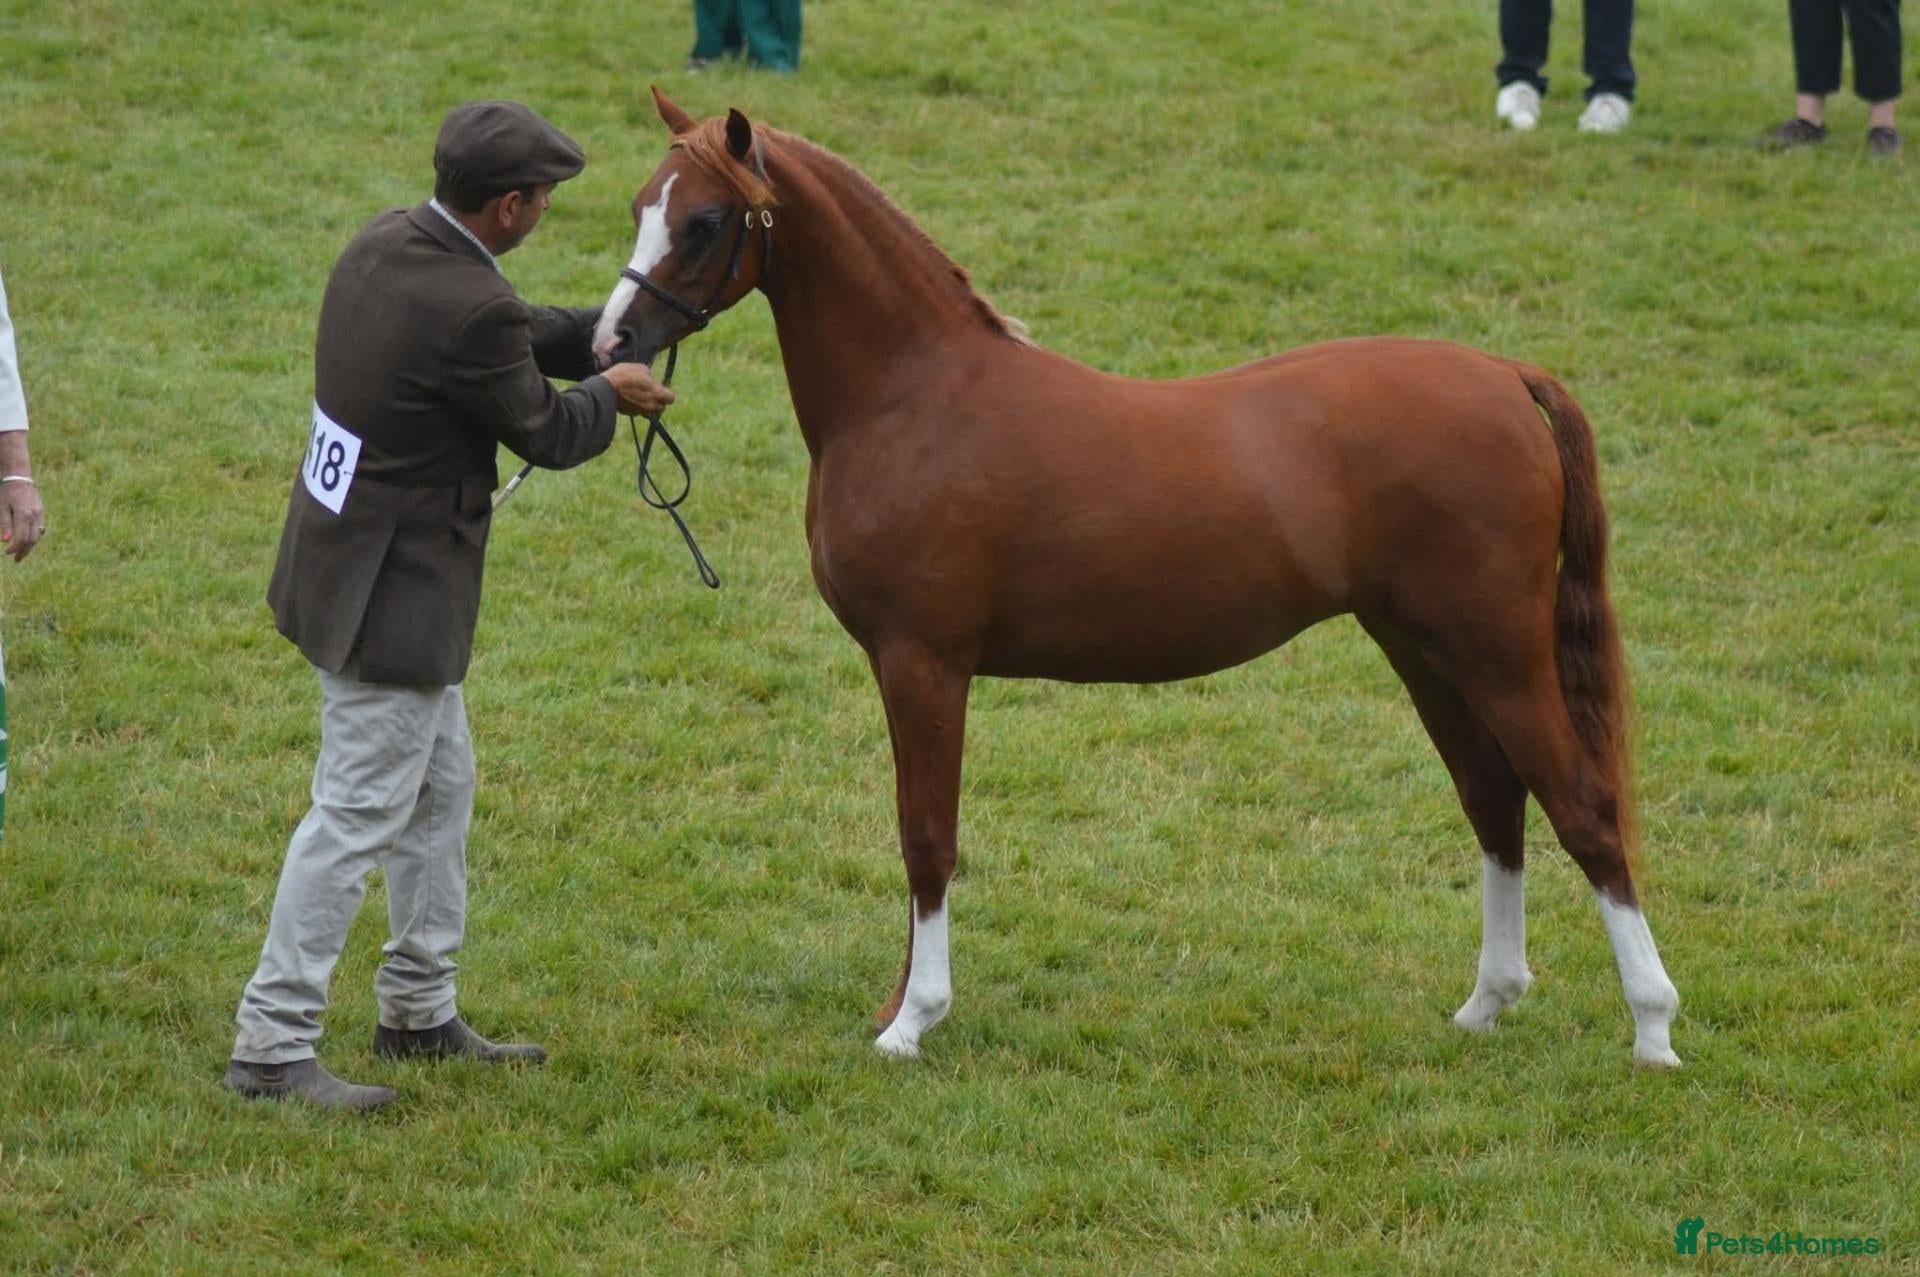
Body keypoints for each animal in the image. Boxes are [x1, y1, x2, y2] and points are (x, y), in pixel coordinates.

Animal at [590, 88, 1682, 1068]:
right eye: (641, 201)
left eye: (704, 219)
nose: (611, 344)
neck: (916, 396)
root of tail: (1505, 375)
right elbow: (916, 834)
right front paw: (901, 1006)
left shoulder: (923, 660)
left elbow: (925, 834)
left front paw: (913, 1023)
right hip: (1424, 651)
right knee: (1495, 802)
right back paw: (1487, 1004)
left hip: (1496, 651)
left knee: (1583, 807)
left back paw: (1653, 1028)